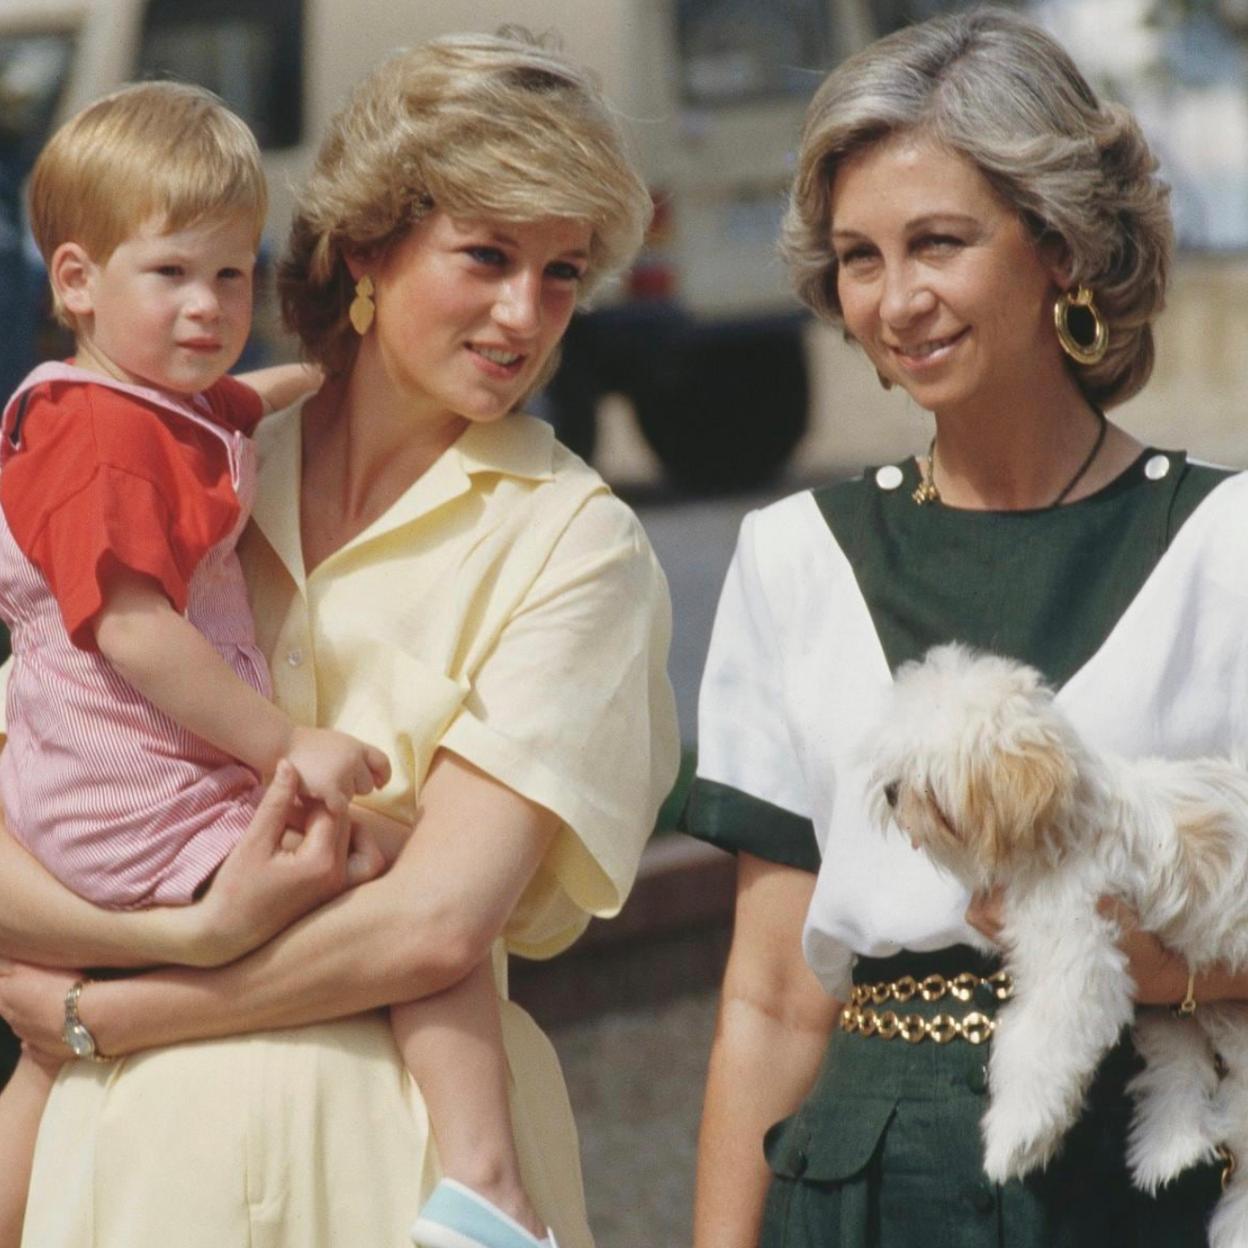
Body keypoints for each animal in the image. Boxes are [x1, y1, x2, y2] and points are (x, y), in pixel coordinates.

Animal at [868, 643, 1248, 1248]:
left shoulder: (1080, 963)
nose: (890, 791)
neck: (1061, 824)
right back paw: (1167, 1152)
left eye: (929, 782)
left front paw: (1013, 1140)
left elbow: (1034, 1049)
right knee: (1181, 1068)